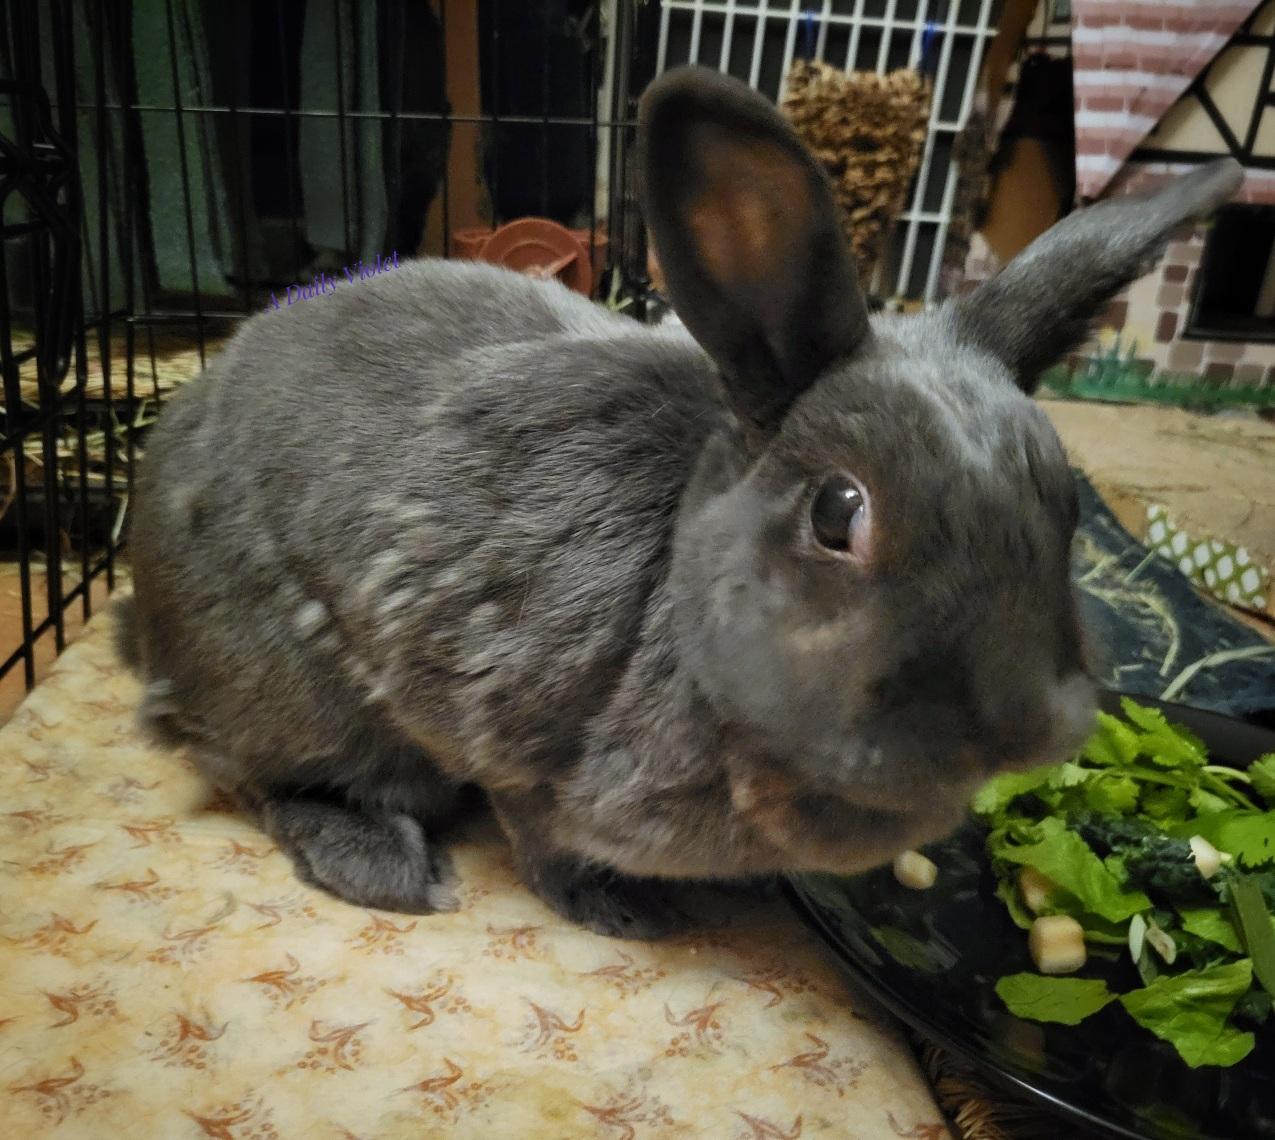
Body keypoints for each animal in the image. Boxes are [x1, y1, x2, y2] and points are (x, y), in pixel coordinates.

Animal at [117, 65, 1243, 938]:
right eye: (837, 515)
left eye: (1064, 506)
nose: (1028, 729)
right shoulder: (517, 740)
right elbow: (540, 838)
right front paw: (618, 911)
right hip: (304, 695)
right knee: (255, 769)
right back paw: (385, 864)